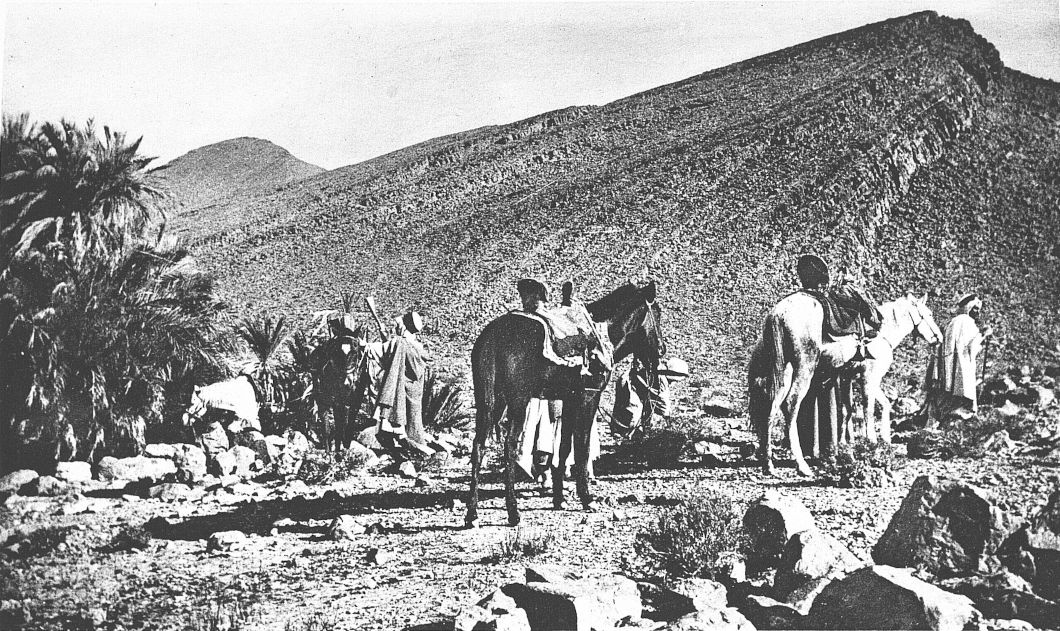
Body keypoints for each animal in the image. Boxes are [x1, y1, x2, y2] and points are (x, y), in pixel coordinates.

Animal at [465, 279, 666, 528]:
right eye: (656, 312)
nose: (661, 350)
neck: (602, 331)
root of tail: (492, 338)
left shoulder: (569, 400)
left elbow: (563, 447)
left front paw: (559, 498)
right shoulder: (589, 398)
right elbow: (582, 447)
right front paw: (587, 499)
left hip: (489, 403)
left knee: (479, 446)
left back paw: (471, 514)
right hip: (518, 402)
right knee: (510, 446)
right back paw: (513, 512)